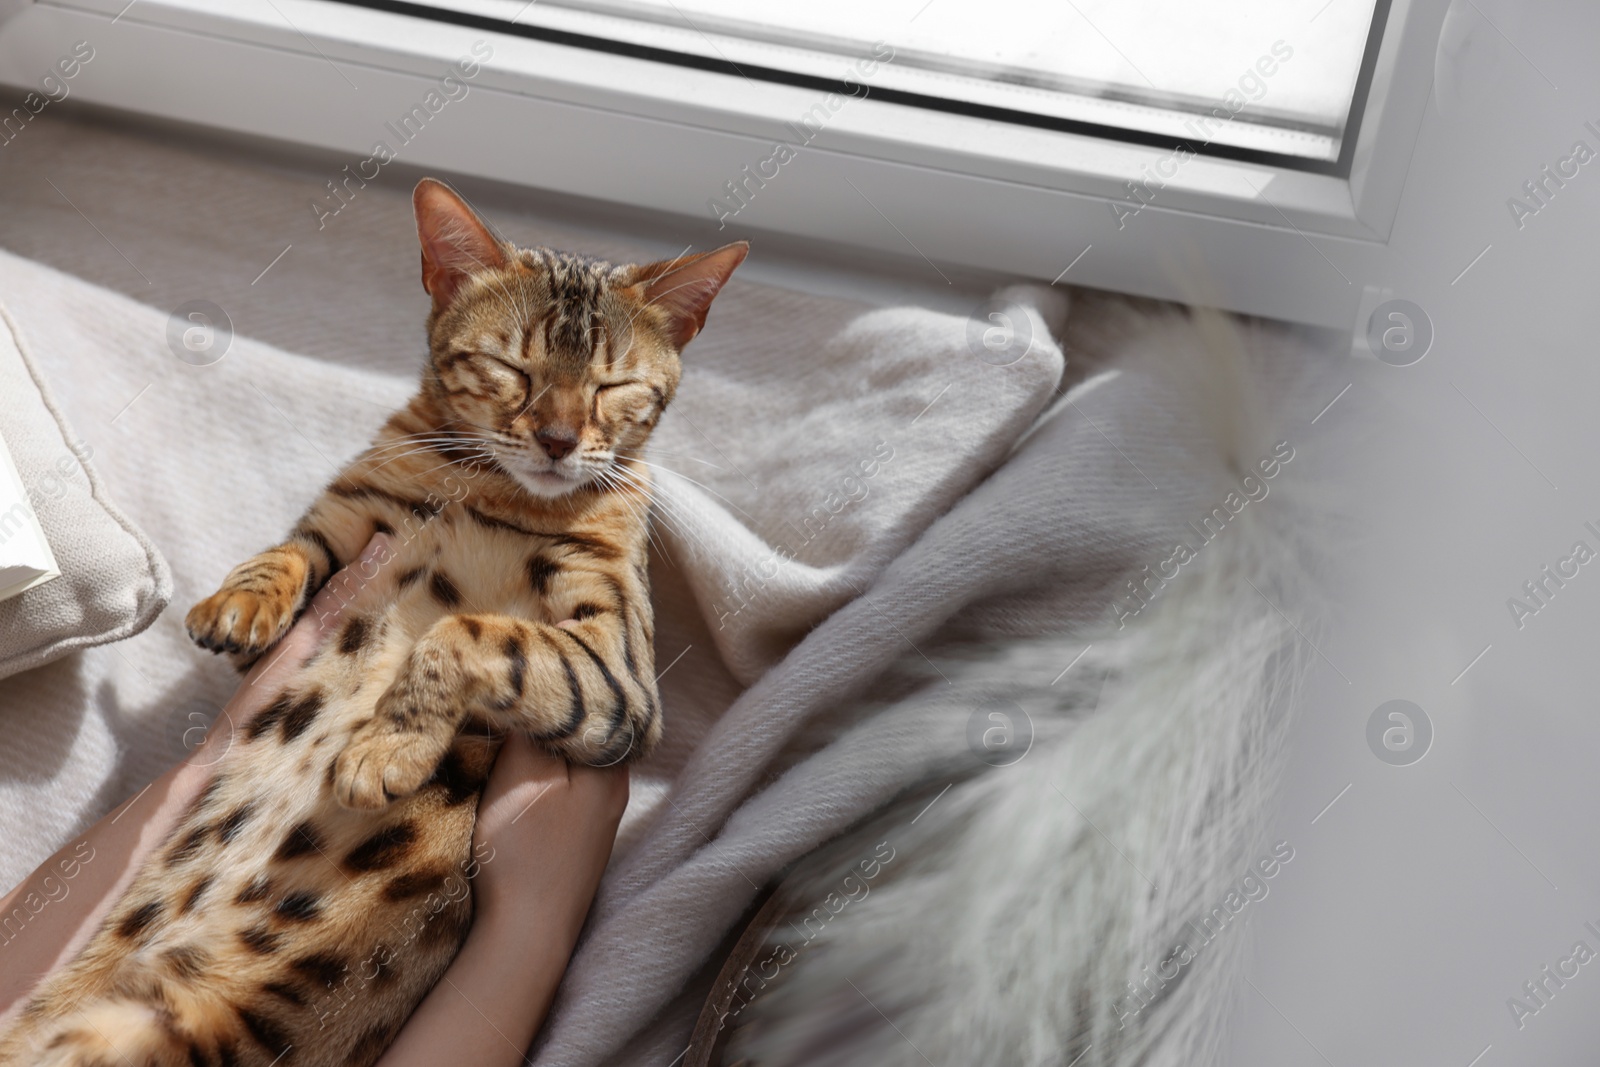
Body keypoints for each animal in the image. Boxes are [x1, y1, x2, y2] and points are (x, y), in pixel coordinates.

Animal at [0, 179, 748, 1062]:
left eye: (612, 385)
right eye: (510, 366)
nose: (560, 441)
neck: (496, 489)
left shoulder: (621, 677)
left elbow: (473, 632)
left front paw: (387, 749)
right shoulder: (356, 519)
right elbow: (293, 549)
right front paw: (239, 602)